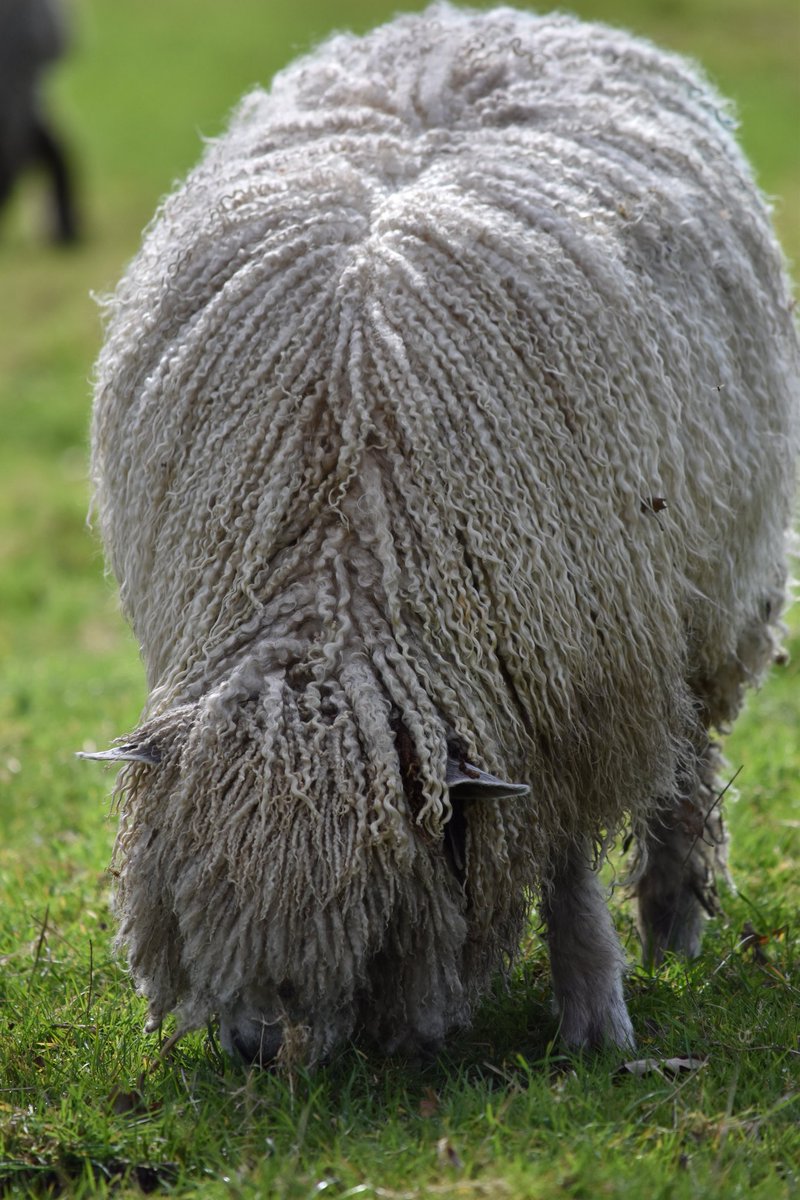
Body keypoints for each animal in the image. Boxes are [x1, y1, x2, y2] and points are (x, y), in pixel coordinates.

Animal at [86, 3, 799, 1065]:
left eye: (354, 909)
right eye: (195, 895)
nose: (255, 1047)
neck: (341, 557)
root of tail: (470, 22)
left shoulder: (570, 672)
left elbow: (565, 857)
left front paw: (595, 1014)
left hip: (718, 594)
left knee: (687, 760)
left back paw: (673, 917)